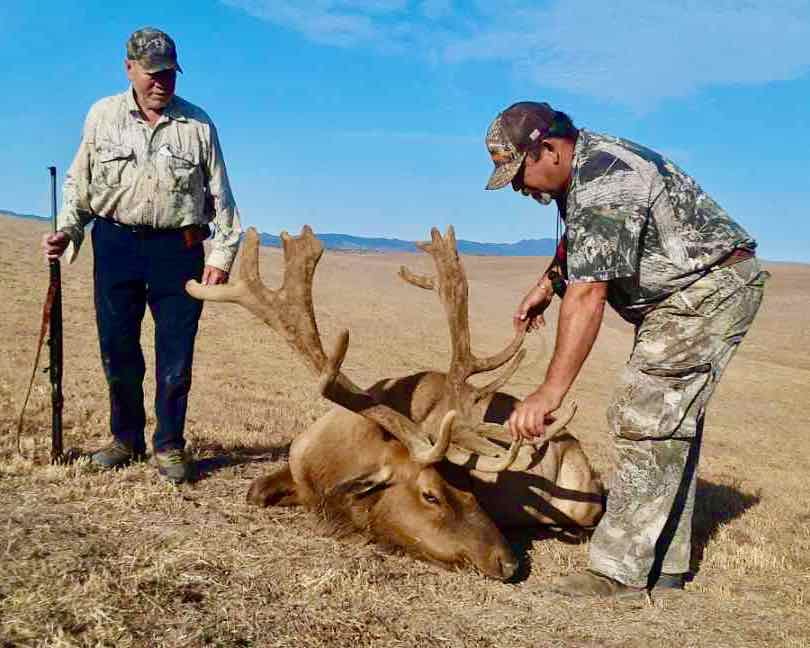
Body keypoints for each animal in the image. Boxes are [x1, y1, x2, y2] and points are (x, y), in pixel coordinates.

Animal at [186, 226, 603, 581]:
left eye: (472, 487)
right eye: (430, 494)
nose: (509, 562)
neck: (332, 464)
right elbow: (255, 491)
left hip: (581, 499)